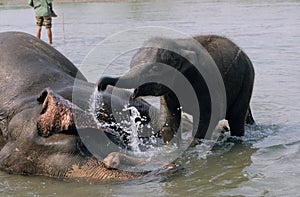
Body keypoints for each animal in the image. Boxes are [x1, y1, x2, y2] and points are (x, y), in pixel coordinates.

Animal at [98, 35, 255, 143]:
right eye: (131, 65)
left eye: (155, 69)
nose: (101, 86)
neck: (178, 47)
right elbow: (169, 120)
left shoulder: (206, 80)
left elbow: (208, 117)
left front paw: (194, 145)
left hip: (247, 79)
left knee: (236, 118)